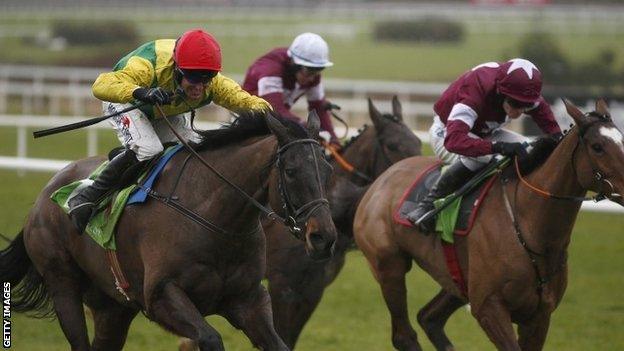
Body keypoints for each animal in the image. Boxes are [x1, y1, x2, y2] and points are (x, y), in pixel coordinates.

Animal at [0, 110, 336, 351]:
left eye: (328, 170)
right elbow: (210, 339)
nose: (324, 237)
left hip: (112, 307)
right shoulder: (162, 296)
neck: (216, 218)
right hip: (63, 283)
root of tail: (45, 194)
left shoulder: (248, 300)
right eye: (291, 171)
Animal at [354, 99, 624, 351]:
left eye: (622, 140)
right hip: (389, 266)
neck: (529, 227)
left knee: (429, 317)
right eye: (597, 147)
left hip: (457, 280)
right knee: (404, 335)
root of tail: (383, 178)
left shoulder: (539, 315)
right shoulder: (489, 307)